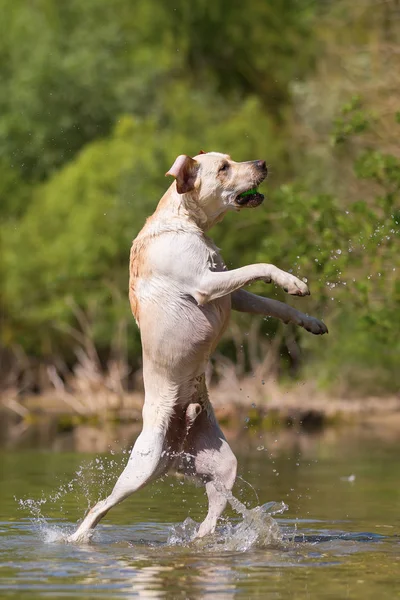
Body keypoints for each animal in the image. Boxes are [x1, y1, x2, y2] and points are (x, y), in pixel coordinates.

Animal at [67, 151, 326, 544]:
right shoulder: (206, 284)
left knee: (213, 511)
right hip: (140, 467)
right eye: (224, 168)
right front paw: (291, 280)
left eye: (233, 159)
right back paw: (75, 538)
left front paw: (308, 319)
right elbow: (259, 264)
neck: (188, 224)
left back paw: (207, 538)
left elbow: (274, 304)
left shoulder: (232, 294)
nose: (262, 162)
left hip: (224, 466)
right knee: (99, 507)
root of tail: (174, 455)